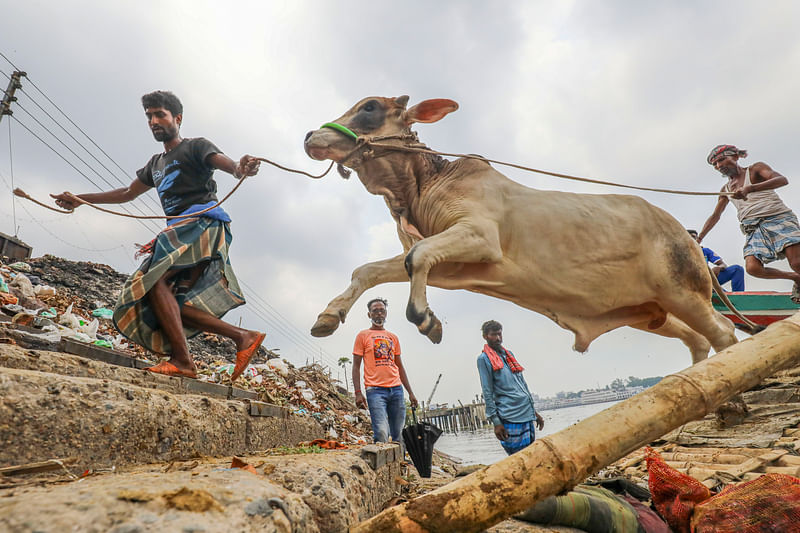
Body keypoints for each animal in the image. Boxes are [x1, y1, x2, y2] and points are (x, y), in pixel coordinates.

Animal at [304, 95, 736, 364]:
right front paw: (329, 316)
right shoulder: (452, 267)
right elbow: (370, 270)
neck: (421, 186)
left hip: (683, 291)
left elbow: (416, 257)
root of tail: (684, 233)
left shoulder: (479, 238)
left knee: (725, 334)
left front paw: (427, 320)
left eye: (370, 107)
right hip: (651, 310)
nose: (311, 136)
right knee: (701, 338)